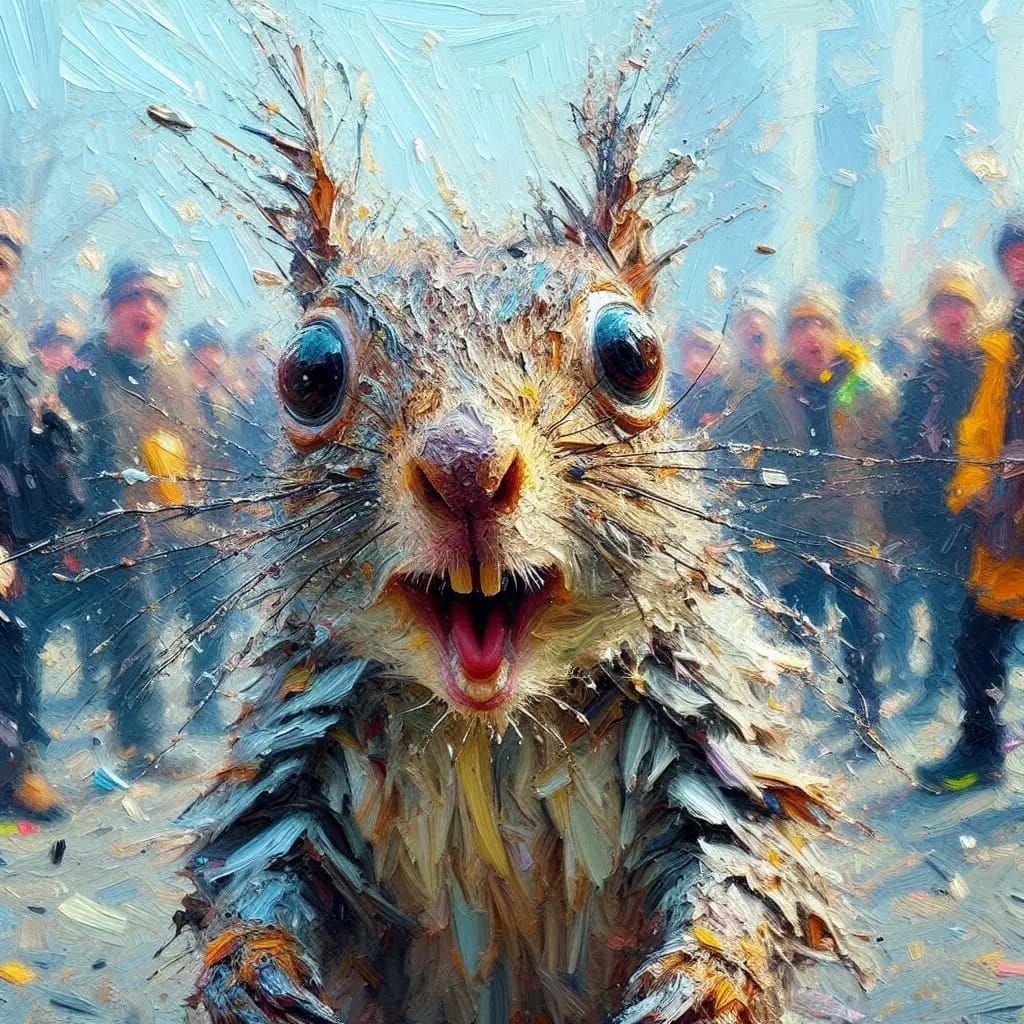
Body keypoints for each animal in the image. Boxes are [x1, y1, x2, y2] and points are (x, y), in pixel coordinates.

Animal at [148, 18, 867, 1024]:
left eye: (633, 354)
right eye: (308, 370)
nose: (466, 467)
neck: (492, 732)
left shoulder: (703, 718)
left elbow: (751, 854)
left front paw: (705, 979)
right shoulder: (296, 733)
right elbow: (252, 858)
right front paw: (253, 970)